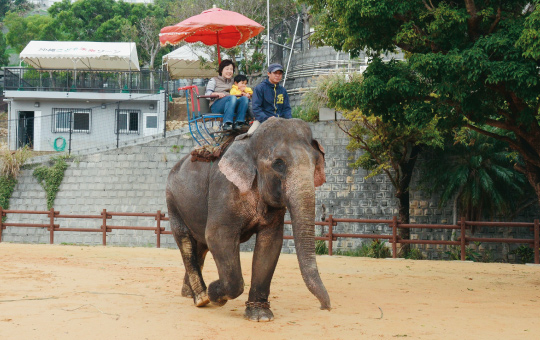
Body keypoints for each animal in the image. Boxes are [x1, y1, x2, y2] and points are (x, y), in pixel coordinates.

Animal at [167, 117, 332, 322]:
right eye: (278, 164)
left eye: (316, 162)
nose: (325, 307)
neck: (251, 142)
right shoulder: (224, 188)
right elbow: (218, 237)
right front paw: (216, 294)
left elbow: (270, 244)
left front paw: (260, 315)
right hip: (173, 202)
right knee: (187, 243)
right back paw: (202, 298)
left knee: (200, 245)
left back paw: (189, 294)